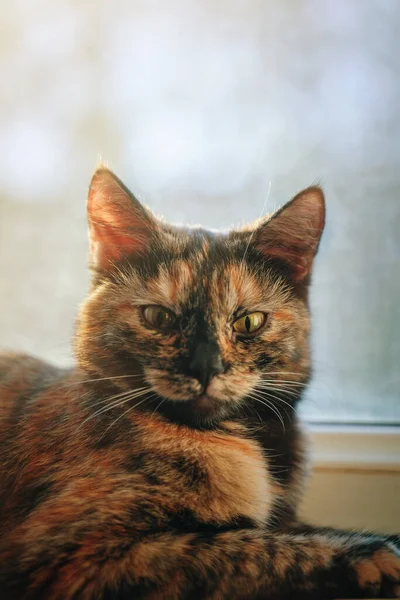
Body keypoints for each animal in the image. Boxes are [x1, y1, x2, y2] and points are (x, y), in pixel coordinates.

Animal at [0, 165, 398, 600]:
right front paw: (372, 554)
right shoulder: (75, 554)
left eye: (248, 322)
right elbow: (246, 545)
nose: (206, 367)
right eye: (158, 317)